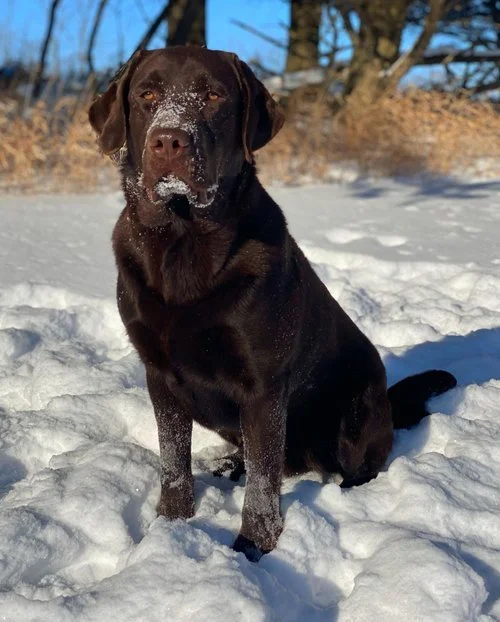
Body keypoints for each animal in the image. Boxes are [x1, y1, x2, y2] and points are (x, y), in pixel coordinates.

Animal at [89, 47, 457, 562]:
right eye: (147, 95)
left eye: (213, 96)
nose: (169, 140)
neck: (184, 242)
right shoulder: (159, 375)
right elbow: (174, 462)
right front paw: (172, 526)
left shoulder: (264, 387)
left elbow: (263, 485)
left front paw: (251, 548)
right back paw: (229, 466)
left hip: (356, 407)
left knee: (354, 464)